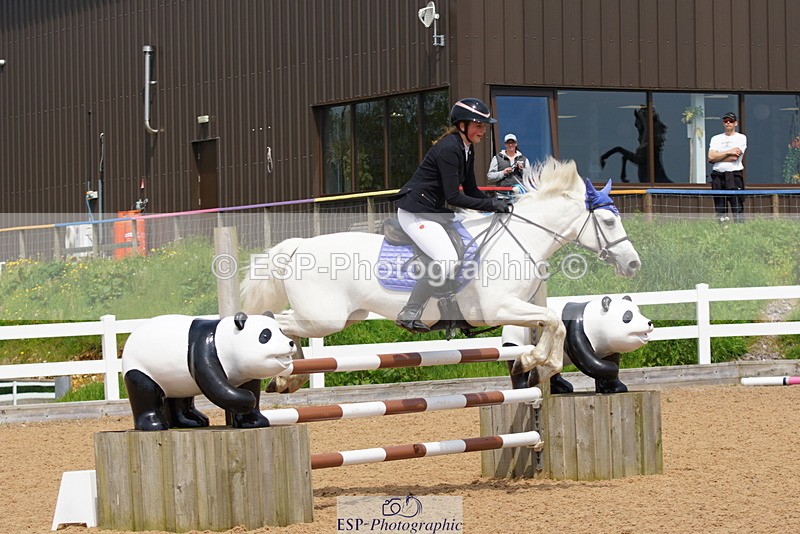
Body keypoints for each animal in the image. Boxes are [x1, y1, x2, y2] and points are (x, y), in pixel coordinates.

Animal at [241, 157, 641, 393]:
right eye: (609, 222)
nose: (633, 264)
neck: (520, 238)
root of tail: (297, 246)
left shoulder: (520, 306)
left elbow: (552, 323)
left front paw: (536, 364)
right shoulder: (498, 308)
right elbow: (554, 322)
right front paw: (535, 362)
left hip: (343, 316)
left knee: (285, 323)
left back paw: (288, 377)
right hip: (324, 318)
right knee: (279, 321)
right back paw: (284, 373)